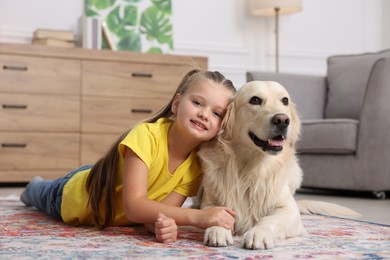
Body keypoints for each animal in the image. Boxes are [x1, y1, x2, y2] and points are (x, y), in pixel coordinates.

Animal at [198, 80, 360, 250]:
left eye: (285, 101)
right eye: (255, 100)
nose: (282, 120)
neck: (250, 169)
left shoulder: (290, 211)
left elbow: (270, 219)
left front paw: (258, 233)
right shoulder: (209, 201)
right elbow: (214, 213)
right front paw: (217, 230)